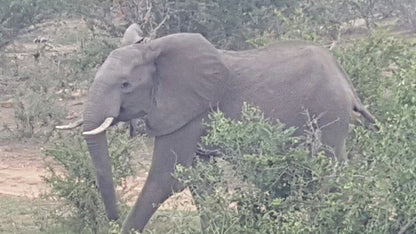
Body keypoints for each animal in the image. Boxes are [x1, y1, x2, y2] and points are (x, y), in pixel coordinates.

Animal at [75, 27, 376, 232]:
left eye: (125, 85)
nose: (112, 218)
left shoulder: (190, 110)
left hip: (328, 112)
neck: (155, 49)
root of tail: (347, 83)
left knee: (330, 171)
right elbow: (199, 178)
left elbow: (167, 178)